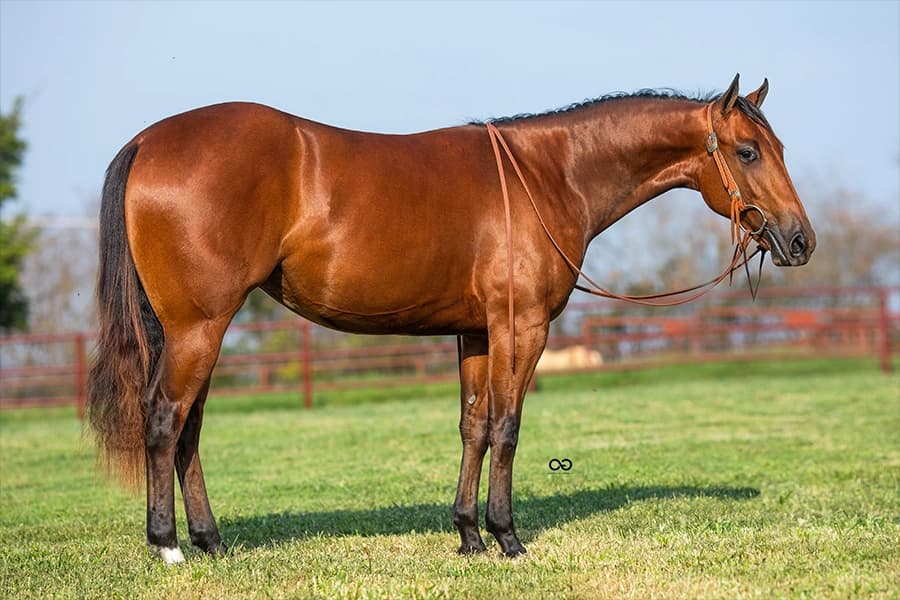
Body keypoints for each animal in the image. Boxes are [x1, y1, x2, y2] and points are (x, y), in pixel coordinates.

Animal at [86, 74, 814, 564]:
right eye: (747, 151)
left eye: (777, 145)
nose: (800, 241)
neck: (547, 174)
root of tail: (149, 140)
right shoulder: (522, 328)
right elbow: (508, 428)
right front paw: (507, 537)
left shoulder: (476, 332)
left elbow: (473, 427)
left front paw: (467, 535)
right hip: (198, 326)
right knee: (165, 419)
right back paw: (168, 547)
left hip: (194, 329)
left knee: (188, 430)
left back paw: (210, 541)